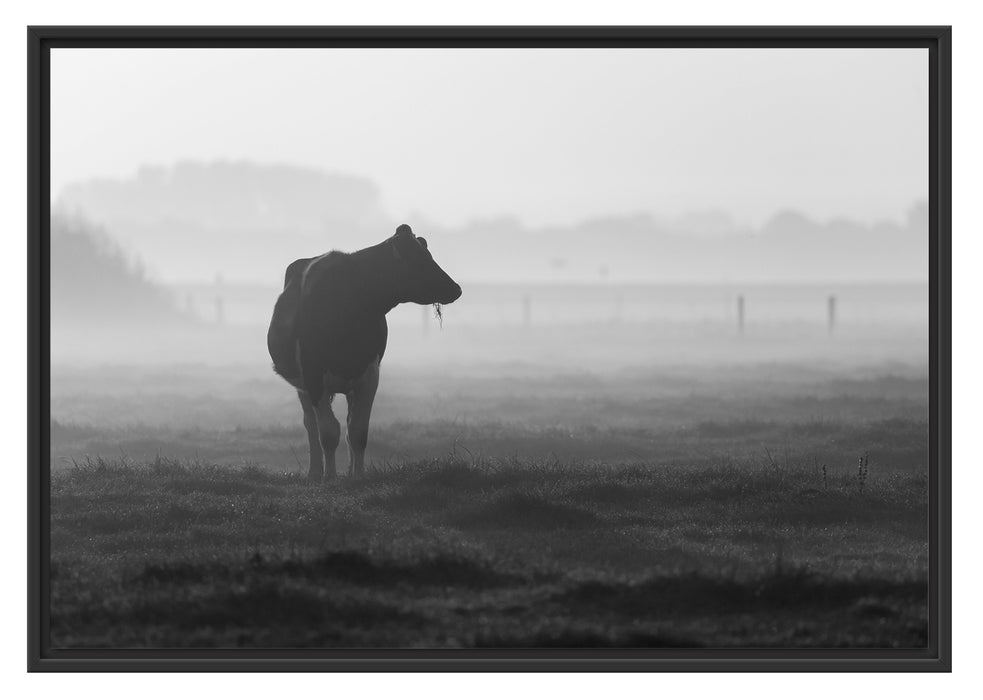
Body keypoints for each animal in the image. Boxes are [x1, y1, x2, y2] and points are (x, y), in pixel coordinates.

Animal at [264, 224, 460, 482]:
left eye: (429, 255)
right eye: (419, 260)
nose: (456, 289)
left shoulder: (369, 374)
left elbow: (357, 432)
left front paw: (358, 476)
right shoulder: (313, 375)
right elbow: (328, 432)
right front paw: (330, 477)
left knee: (346, 424)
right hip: (303, 386)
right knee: (311, 425)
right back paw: (315, 471)